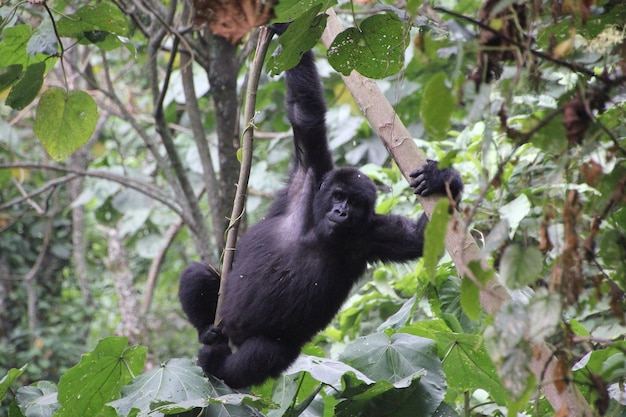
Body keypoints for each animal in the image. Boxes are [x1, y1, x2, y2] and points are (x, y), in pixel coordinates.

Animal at [178, 31, 460, 386]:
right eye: (338, 196)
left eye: (354, 204)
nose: (340, 212)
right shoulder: (310, 173)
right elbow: (306, 113)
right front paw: (284, 26)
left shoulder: (372, 234)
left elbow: (420, 238)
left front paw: (442, 180)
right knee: (198, 274)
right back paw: (206, 333)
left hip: (265, 346)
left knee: (266, 353)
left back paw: (220, 365)